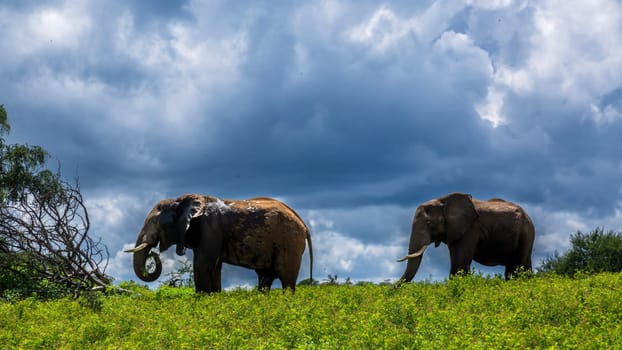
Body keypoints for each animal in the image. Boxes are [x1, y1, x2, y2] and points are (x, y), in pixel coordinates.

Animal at [125, 194, 314, 292]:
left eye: (154, 222)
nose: (153, 253)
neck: (180, 201)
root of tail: (304, 225)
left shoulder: (210, 230)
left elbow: (202, 265)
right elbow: (214, 268)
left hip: (290, 243)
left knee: (286, 280)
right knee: (265, 280)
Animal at [400, 193, 536, 280]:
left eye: (428, 223)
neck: (443, 201)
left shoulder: (470, 230)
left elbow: (459, 264)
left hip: (527, 232)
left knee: (521, 265)